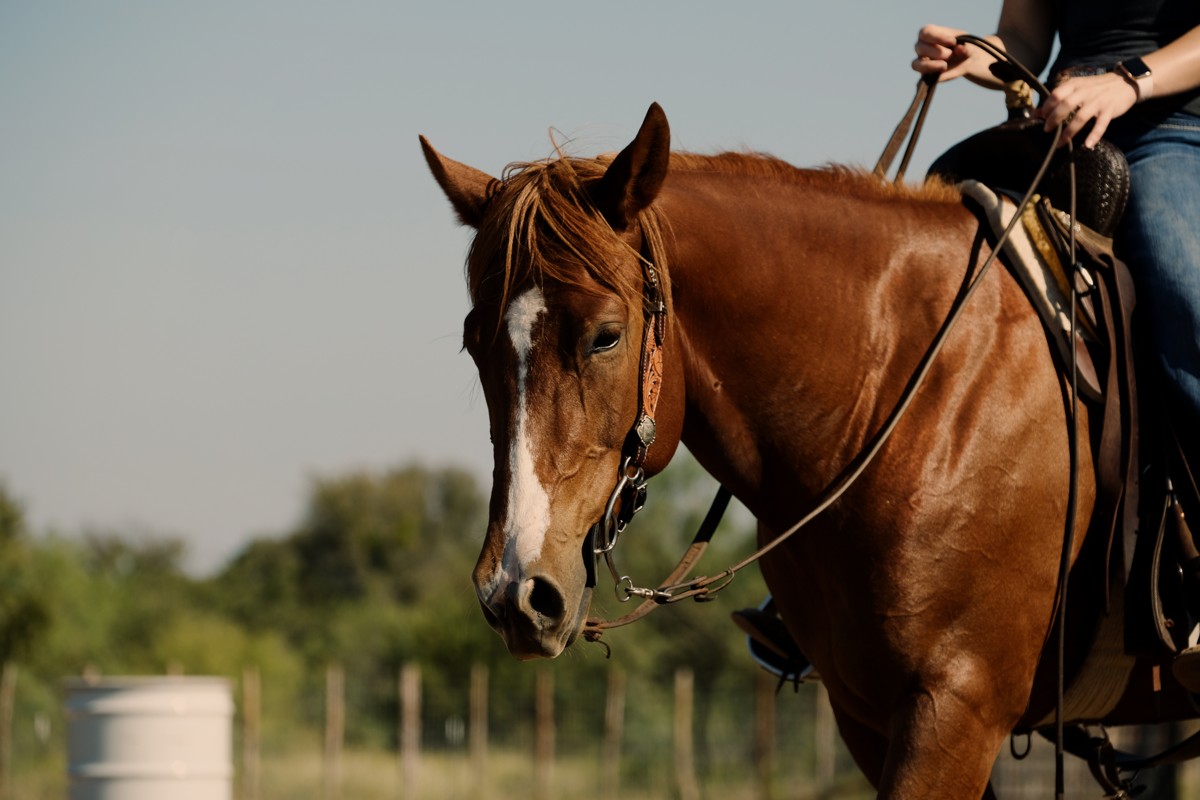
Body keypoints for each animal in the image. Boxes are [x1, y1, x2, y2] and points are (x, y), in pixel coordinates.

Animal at [424, 104, 1171, 796]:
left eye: (605, 336)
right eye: (474, 342)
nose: (514, 593)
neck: (900, 396)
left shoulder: (958, 705)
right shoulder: (868, 715)